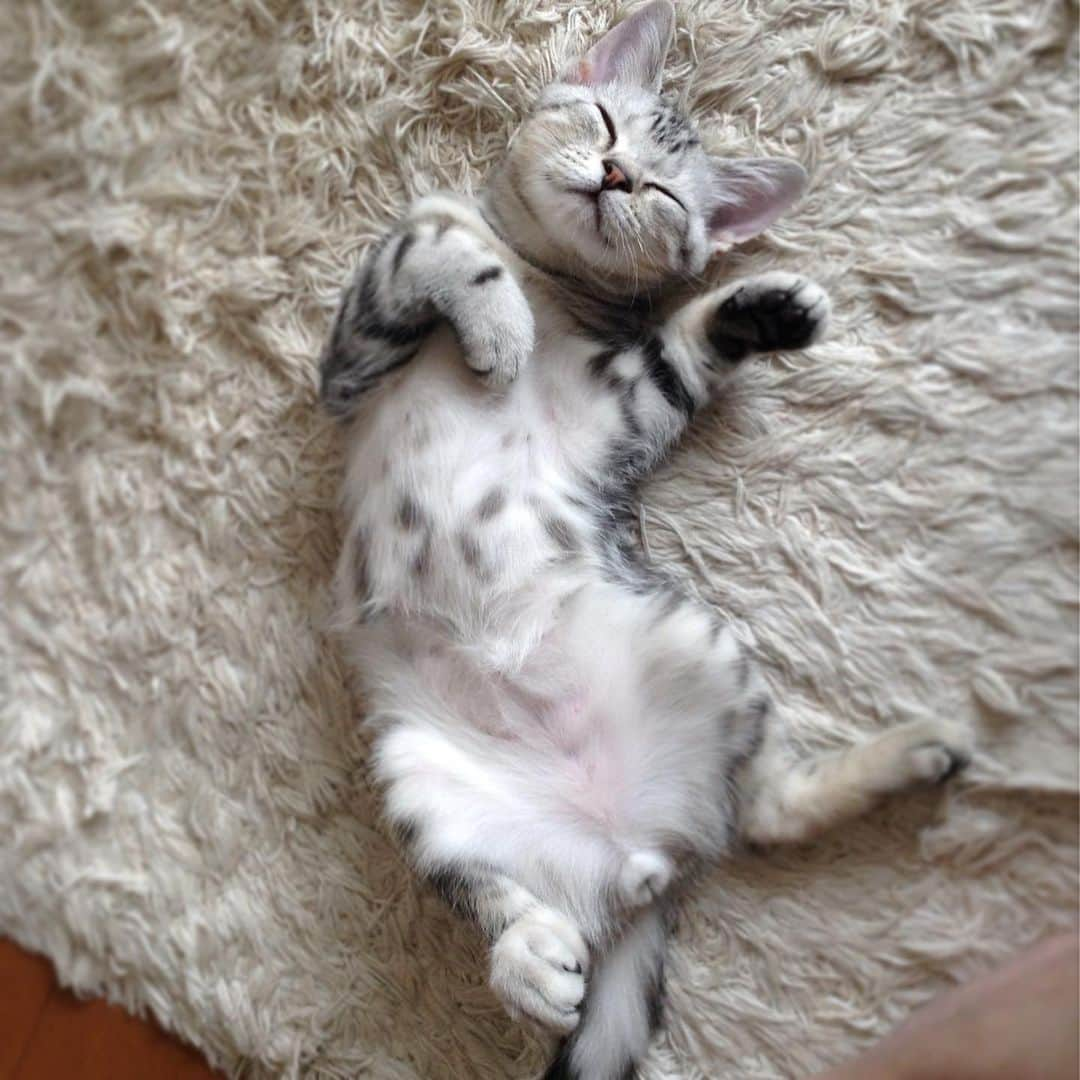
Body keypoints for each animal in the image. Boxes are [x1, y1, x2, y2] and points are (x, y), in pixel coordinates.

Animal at [315, 4, 976, 1075]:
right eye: (602, 121)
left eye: (665, 190)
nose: (618, 175)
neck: (546, 278)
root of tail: (639, 852)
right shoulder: (348, 367)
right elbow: (437, 232)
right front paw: (494, 312)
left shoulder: (622, 408)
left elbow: (659, 347)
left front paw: (756, 308)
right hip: (418, 774)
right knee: (488, 887)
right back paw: (528, 959)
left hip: (699, 645)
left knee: (767, 813)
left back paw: (916, 751)